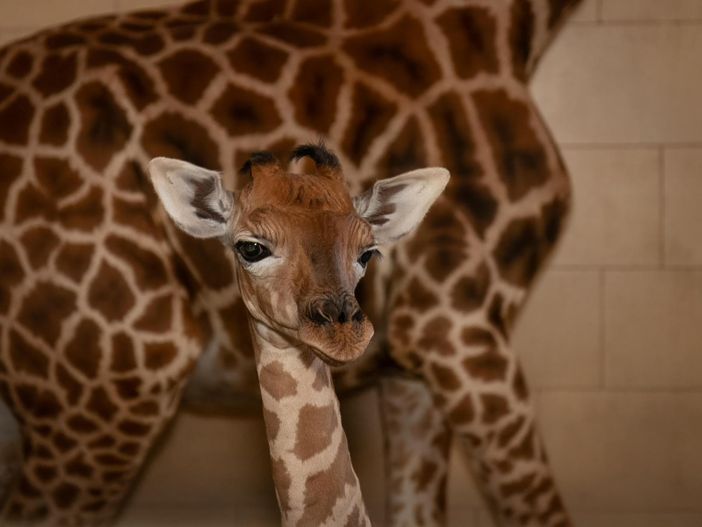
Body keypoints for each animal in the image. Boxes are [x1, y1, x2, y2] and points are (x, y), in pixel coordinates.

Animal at [0, 0, 582, 525]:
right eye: (250, 246)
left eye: (369, 251)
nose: (342, 329)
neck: (510, 31)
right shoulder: (454, 323)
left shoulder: (412, 363)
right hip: (107, 394)